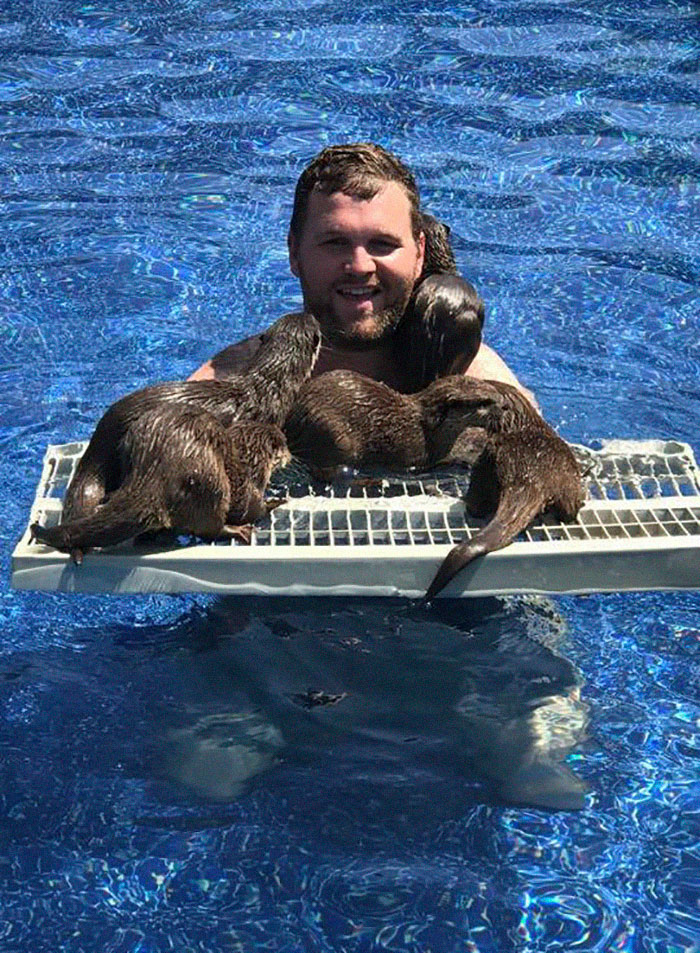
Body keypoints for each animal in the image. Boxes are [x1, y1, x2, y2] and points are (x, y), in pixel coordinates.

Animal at [32, 404, 290, 556]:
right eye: (285, 444)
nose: (289, 454)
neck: (249, 460)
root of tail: (154, 476)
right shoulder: (246, 485)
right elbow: (251, 508)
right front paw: (272, 502)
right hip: (211, 485)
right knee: (210, 528)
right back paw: (236, 530)